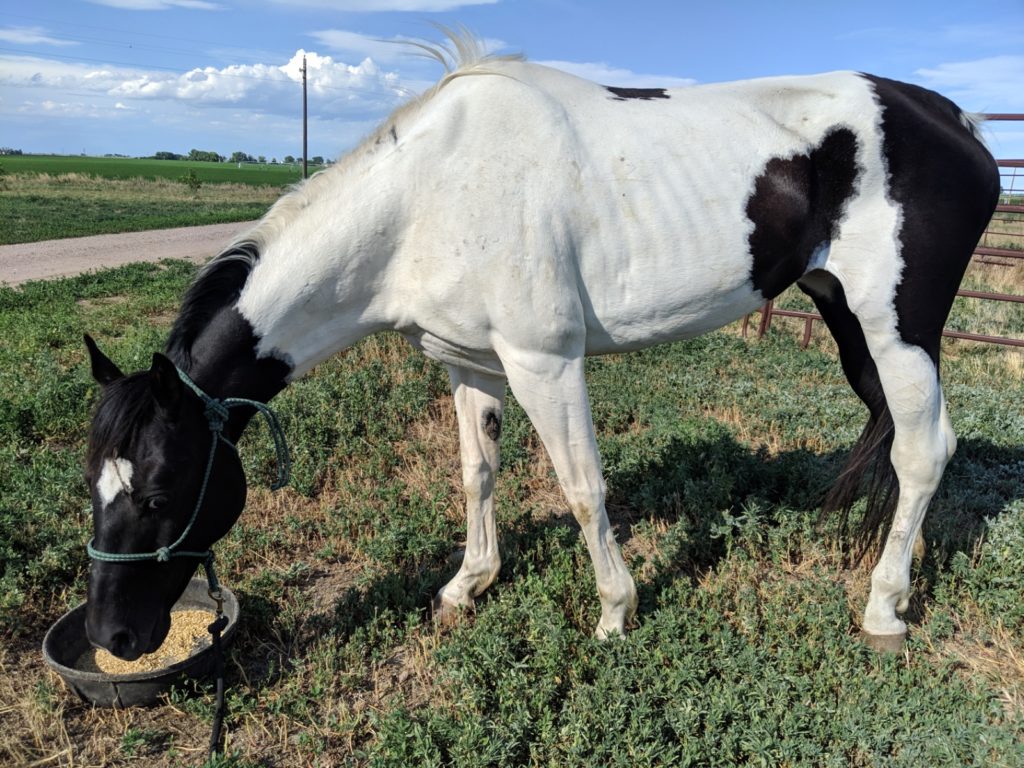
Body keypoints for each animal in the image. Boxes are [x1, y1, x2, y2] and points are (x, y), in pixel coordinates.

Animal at [81, 37, 999, 663]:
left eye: (161, 493)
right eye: (94, 487)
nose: (113, 635)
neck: (425, 198)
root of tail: (955, 121)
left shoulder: (544, 362)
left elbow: (583, 488)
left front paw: (615, 611)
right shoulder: (469, 363)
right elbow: (477, 474)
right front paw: (468, 584)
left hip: (899, 328)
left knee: (923, 451)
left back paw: (884, 607)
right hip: (847, 319)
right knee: (908, 438)